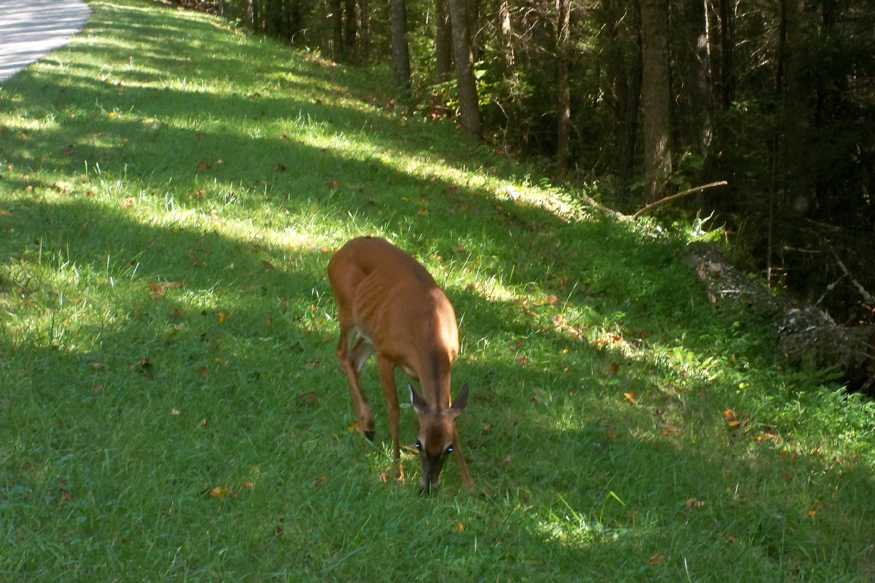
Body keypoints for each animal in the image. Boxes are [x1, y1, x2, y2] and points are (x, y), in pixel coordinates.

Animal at [326, 235, 476, 496]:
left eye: (447, 448)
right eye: (419, 443)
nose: (427, 487)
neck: (427, 332)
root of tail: (339, 252)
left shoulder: (450, 361)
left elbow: (452, 418)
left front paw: (470, 483)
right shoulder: (386, 356)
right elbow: (394, 409)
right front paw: (397, 471)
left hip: (371, 333)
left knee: (354, 359)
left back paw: (364, 432)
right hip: (347, 310)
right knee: (343, 353)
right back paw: (368, 425)